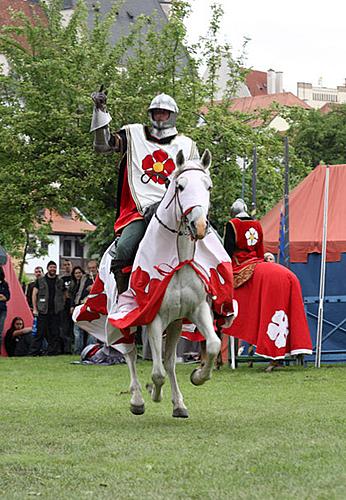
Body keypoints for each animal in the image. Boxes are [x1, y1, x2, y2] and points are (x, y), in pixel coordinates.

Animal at [121, 150, 232, 420]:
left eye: (208, 186)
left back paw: (179, 404)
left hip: (176, 322)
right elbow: (157, 372)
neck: (178, 262)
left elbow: (213, 344)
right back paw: (138, 398)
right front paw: (153, 393)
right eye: (180, 186)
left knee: (170, 361)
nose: (199, 226)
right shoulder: (153, 317)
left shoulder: (197, 310)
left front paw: (198, 376)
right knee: (131, 354)